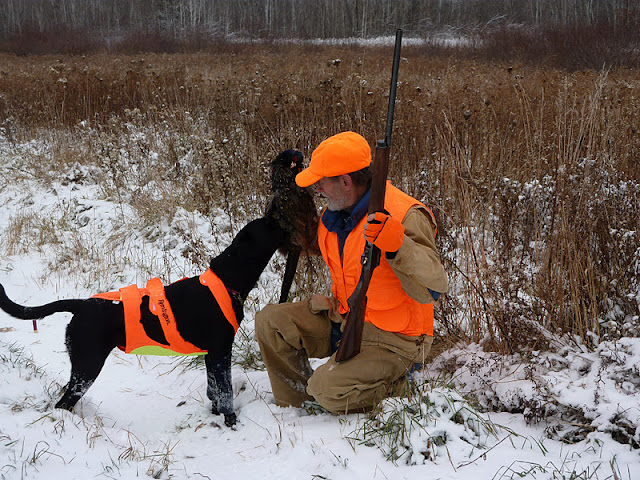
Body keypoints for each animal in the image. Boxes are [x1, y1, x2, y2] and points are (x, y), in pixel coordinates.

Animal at [0, 150, 316, 427]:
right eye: (271, 224)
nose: (277, 210)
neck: (228, 280)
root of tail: (82, 304)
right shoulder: (220, 350)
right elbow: (225, 393)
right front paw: (231, 423)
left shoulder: (210, 355)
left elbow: (214, 391)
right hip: (88, 364)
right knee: (64, 402)